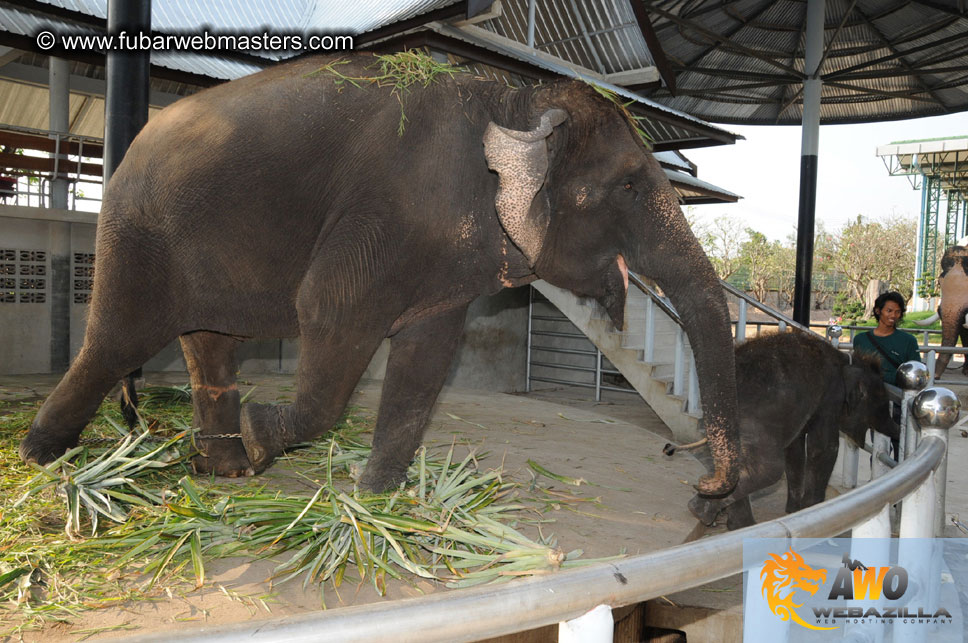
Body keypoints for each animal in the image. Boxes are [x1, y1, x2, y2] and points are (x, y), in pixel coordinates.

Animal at [17, 50, 740, 498]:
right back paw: (40, 459)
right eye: (629, 185)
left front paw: (376, 497)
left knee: (208, 348)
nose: (700, 481)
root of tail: (128, 146)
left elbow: (430, 355)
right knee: (116, 344)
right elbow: (328, 310)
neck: (515, 96)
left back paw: (228, 472)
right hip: (136, 234)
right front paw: (264, 432)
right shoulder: (386, 213)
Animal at [680, 330, 892, 532]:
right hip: (754, 425)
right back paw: (706, 513)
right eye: (881, 402)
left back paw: (731, 522)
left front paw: (793, 511)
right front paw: (811, 509)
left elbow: (795, 451)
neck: (846, 359)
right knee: (769, 469)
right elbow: (824, 448)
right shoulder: (831, 396)